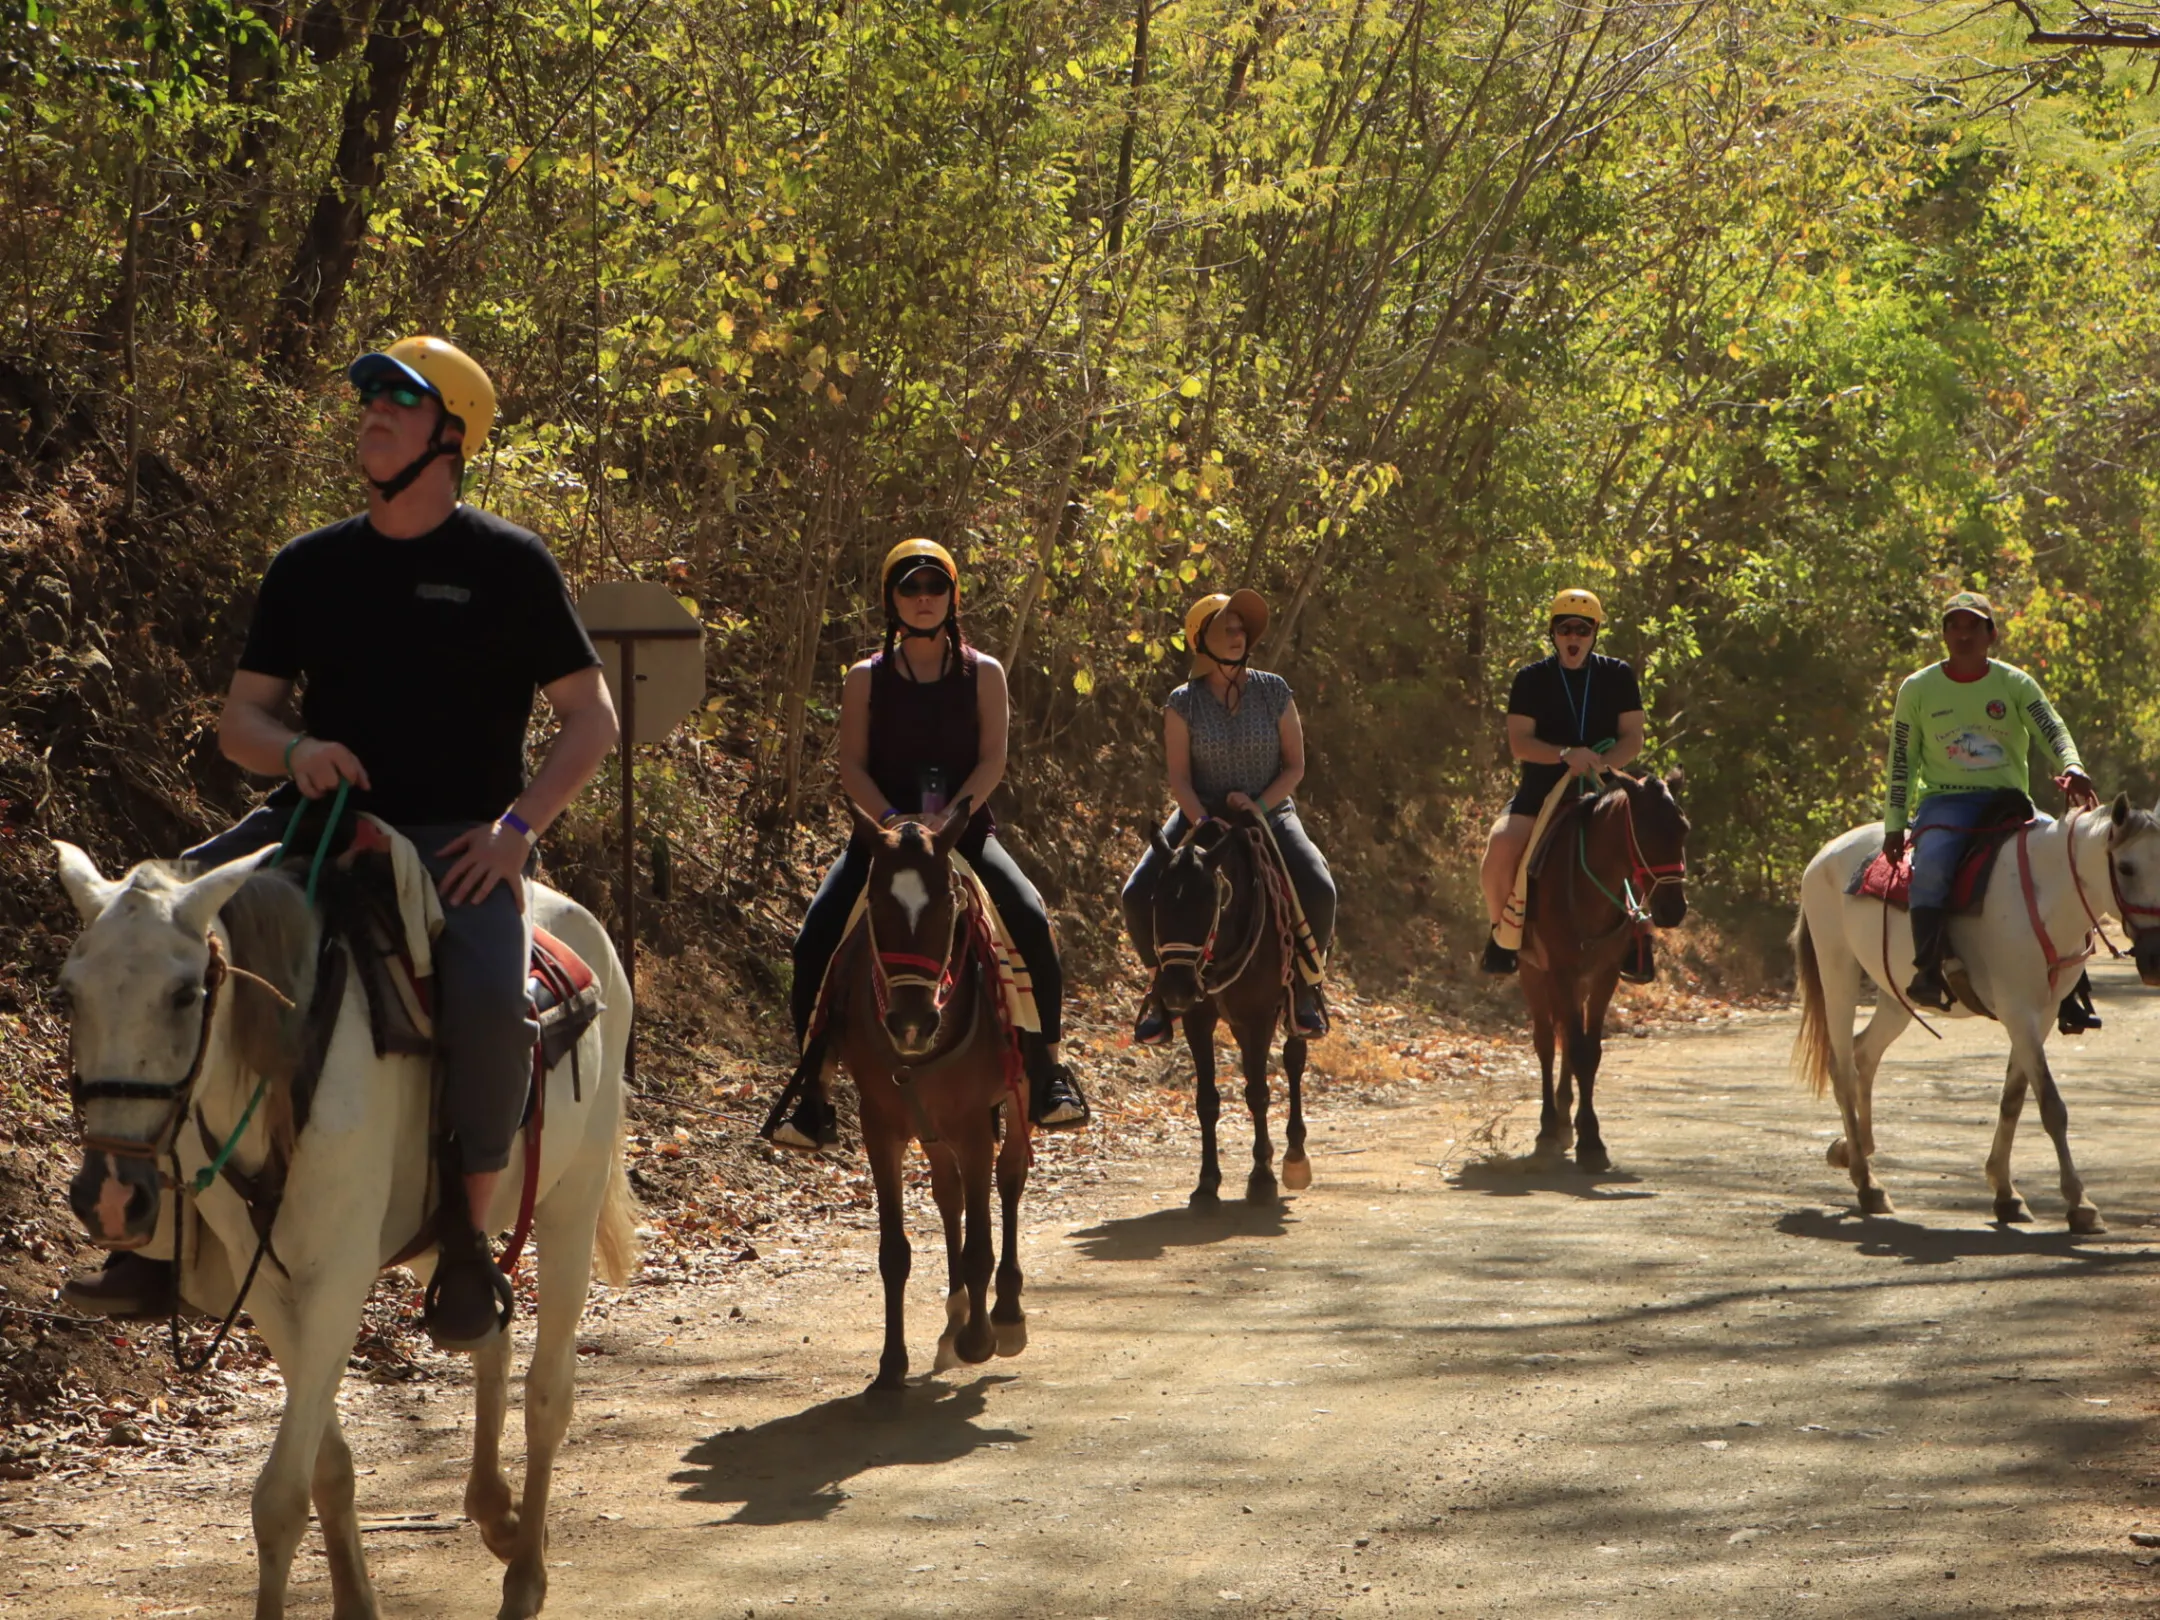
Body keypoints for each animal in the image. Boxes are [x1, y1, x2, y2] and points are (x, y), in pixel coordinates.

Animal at [51, 840, 636, 1620]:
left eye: (184, 994)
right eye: (69, 994)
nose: (111, 1198)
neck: (289, 1074)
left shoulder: (336, 1280)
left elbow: (279, 1499)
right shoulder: (268, 1286)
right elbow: (326, 1467)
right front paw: (356, 1599)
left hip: (573, 1198)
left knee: (548, 1393)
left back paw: (526, 1576)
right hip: (439, 1239)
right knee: (489, 1333)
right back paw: (498, 1512)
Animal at [826, 801, 1030, 1394]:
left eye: (946, 904)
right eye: (877, 903)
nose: (911, 1023)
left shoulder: (973, 1125)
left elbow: (981, 1243)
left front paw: (980, 1341)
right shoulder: (881, 1128)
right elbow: (894, 1252)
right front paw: (890, 1366)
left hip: (1016, 1096)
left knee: (1011, 1177)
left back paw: (1004, 1315)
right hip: (931, 1127)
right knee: (949, 1194)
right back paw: (955, 1318)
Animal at [1149, 808, 1312, 1206]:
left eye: (1211, 901)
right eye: (1156, 900)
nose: (1176, 989)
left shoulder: (1259, 1016)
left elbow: (1258, 1093)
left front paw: (1262, 1178)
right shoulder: (1198, 1019)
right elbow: (1207, 1100)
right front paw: (1207, 1183)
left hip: (1288, 1012)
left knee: (1294, 1059)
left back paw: (1294, 1156)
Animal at [1515, 770, 1690, 1172]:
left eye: (1684, 829)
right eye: (1645, 831)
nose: (1674, 909)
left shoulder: (1603, 975)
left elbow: (1589, 1051)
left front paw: (1588, 1135)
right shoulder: (1561, 972)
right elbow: (1574, 1049)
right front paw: (1588, 1139)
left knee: (1566, 1035)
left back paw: (1564, 1120)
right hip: (1535, 972)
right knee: (1546, 1042)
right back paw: (1548, 1128)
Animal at [1791, 794, 2160, 1230]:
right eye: (2126, 867)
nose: (2156, 960)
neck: (2046, 896)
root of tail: (1823, 856)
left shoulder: (2042, 1014)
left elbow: (2013, 1100)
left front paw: (2005, 1192)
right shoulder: (2018, 1010)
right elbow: (2051, 1106)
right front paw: (2080, 1203)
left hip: (1895, 995)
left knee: (1864, 1054)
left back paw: (1854, 1151)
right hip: (1838, 972)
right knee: (1844, 1068)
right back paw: (1868, 1185)